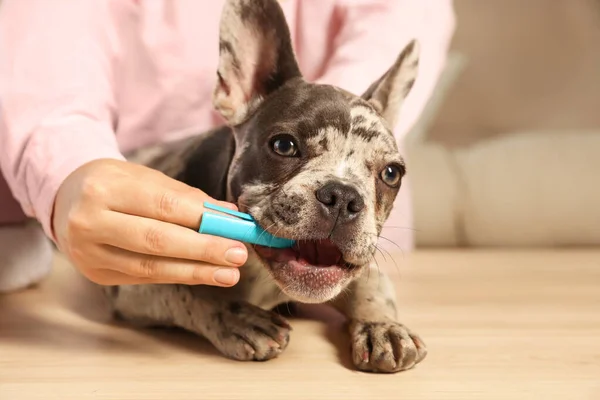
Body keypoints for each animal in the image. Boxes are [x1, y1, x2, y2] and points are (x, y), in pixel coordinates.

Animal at [108, 0, 426, 376]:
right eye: (284, 145)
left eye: (391, 173)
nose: (343, 196)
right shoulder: (133, 285)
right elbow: (185, 287)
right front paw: (237, 317)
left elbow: (370, 282)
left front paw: (383, 327)